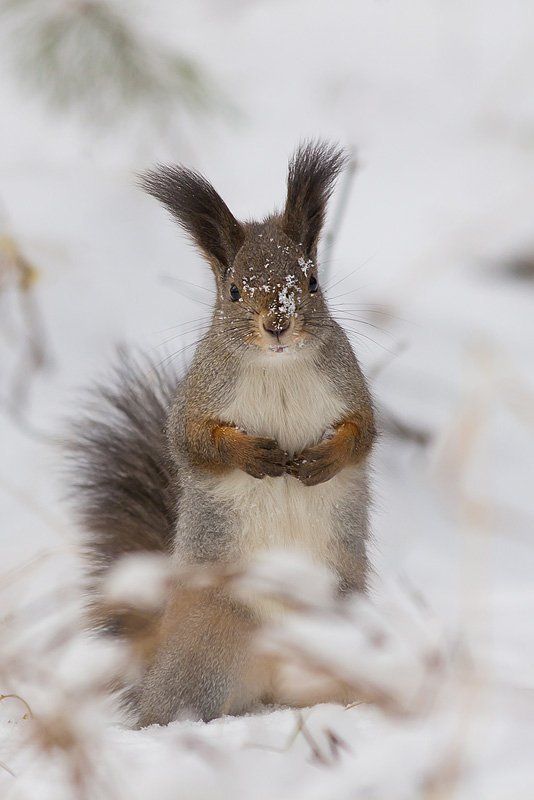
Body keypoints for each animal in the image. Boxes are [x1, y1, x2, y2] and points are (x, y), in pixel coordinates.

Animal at [69, 141, 376, 727]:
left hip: (338, 634)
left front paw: (322, 459)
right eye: (233, 290)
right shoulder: (197, 400)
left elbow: (363, 435)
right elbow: (192, 444)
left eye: (311, 281)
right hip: (207, 645)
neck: (278, 367)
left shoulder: (350, 386)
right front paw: (252, 455)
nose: (277, 324)